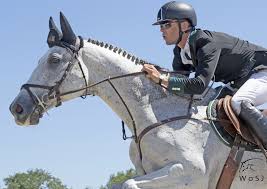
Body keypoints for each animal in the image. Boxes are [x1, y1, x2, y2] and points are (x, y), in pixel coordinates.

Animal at [8, 12, 267, 188]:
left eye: (54, 60)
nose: (17, 108)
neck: (155, 114)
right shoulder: (149, 172)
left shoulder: (191, 173)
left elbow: (127, 183)